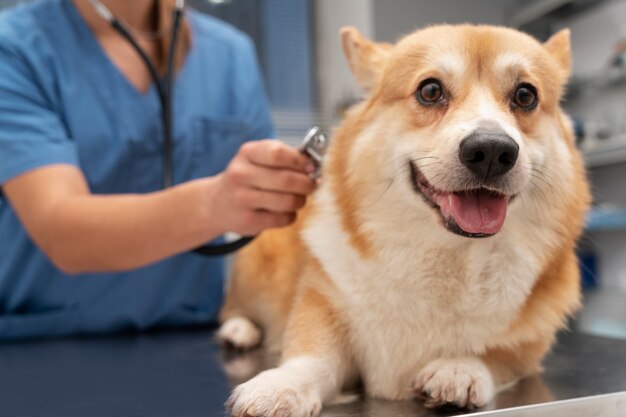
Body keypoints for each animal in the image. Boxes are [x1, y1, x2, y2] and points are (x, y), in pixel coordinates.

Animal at [221, 24, 588, 414]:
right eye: (430, 91)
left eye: (525, 95)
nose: (491, 150)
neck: (450, 253)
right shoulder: (322, 302)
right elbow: (313, 355)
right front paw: (282, 386)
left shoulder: (528, 346)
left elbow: (498, 354)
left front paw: (459, 369)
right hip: (252, 271)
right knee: (233, 307)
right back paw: (239, 330)